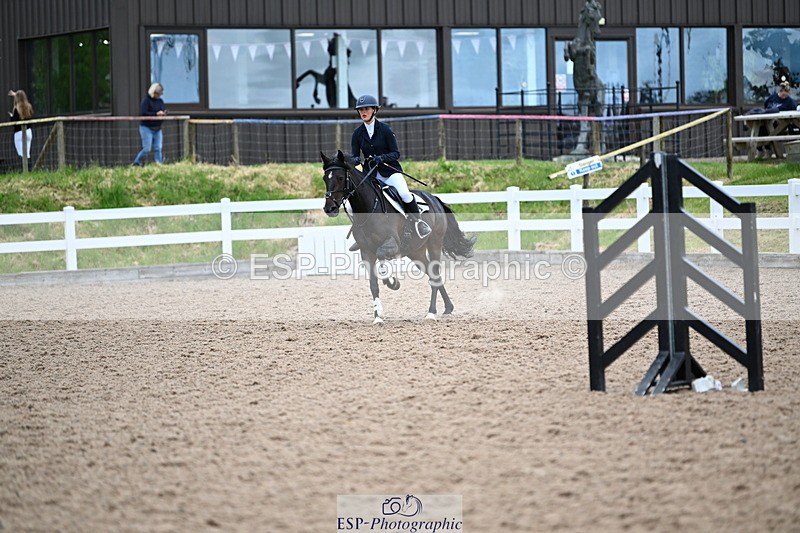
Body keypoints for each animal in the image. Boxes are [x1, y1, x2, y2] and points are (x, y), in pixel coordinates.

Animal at [321, 150, 476, 324]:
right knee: (432, 275)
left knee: (434, 275)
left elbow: (382, 255)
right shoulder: (366, 251)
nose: (330, 209)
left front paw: (392, 282)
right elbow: (373, 285)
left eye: (341, 178)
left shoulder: (392, 243)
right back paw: (448, 308)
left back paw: (431, 312)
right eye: (325, 178)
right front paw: (378, 317)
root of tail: (433, 198)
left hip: (434, 244)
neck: (368, 208)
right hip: (416, 252)